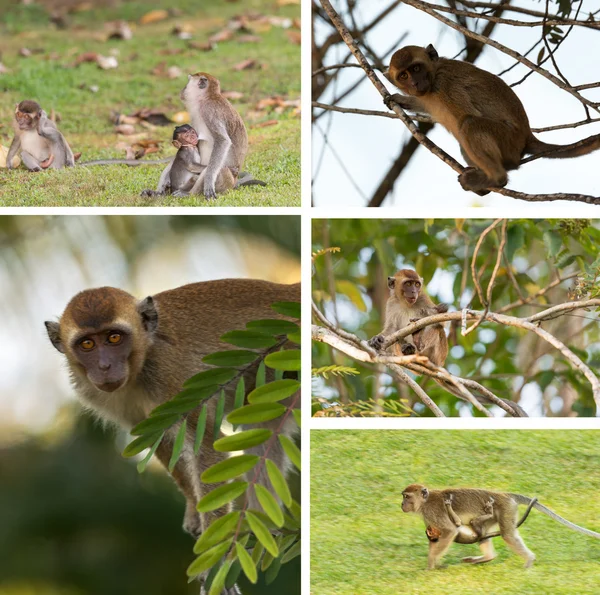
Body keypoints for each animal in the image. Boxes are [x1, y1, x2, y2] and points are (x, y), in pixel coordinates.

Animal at [44, 280, 300, 595]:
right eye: (87, 344)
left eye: (114, 337)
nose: (104, 367)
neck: (143, 358)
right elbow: (162, 441)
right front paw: (194, 511)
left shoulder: (171, 376)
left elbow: (206, 447)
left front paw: (214, 557)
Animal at [382, 47, 600, 196]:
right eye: (404, 75)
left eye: (416, 68)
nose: (415, 82)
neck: (434, 75)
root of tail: (526, 136)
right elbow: (423, 104)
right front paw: (399, 99)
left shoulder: (445, 85)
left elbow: (466, 116)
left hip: (508, 140)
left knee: (469, 126)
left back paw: (495, 178)